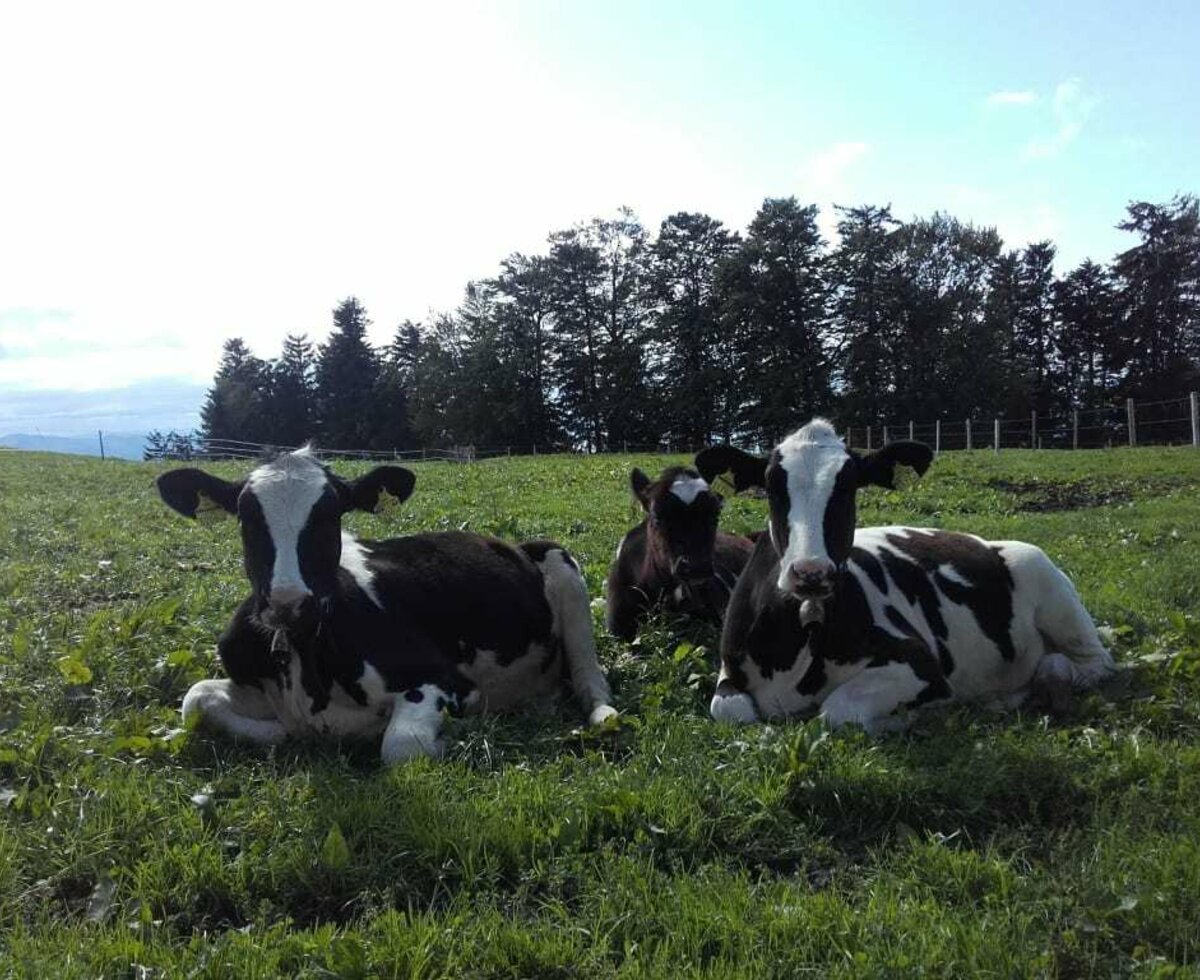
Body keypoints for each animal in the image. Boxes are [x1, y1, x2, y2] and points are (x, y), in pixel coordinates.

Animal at [154, 446, 614, 762]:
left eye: (331, 515)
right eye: (247, 518)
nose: (288, 602)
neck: (309, 667)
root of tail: (500, 540)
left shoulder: (444, 680)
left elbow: (401, 745)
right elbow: (196, 698)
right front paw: (281, 734)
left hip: (563, 565)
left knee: (590, 676)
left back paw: (602, 714)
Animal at [696, 419, 1113, 734]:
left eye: (849, 486)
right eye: (771, 486)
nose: (810, 571)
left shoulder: (920, 664)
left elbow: (836, 711)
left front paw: (905, 719)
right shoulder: (728, 671)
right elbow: (731, 712)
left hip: (1053, 591)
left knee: (1094, 664)